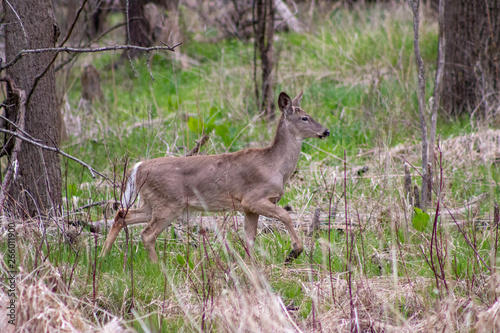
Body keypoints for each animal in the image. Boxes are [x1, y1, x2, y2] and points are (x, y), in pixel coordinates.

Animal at [99, 91, 330, 262]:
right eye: (304, 117)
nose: (326, 131)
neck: (275, 166)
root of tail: (138, 167)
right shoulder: (253, 198)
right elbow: (285, 215)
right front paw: (293, 252)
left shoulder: (248, 208)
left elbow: (250, 238)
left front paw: (250, 266)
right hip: (168, 203)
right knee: (146, 234)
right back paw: (157, 266)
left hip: (152, 203)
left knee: (121, 214)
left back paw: (103, 256)